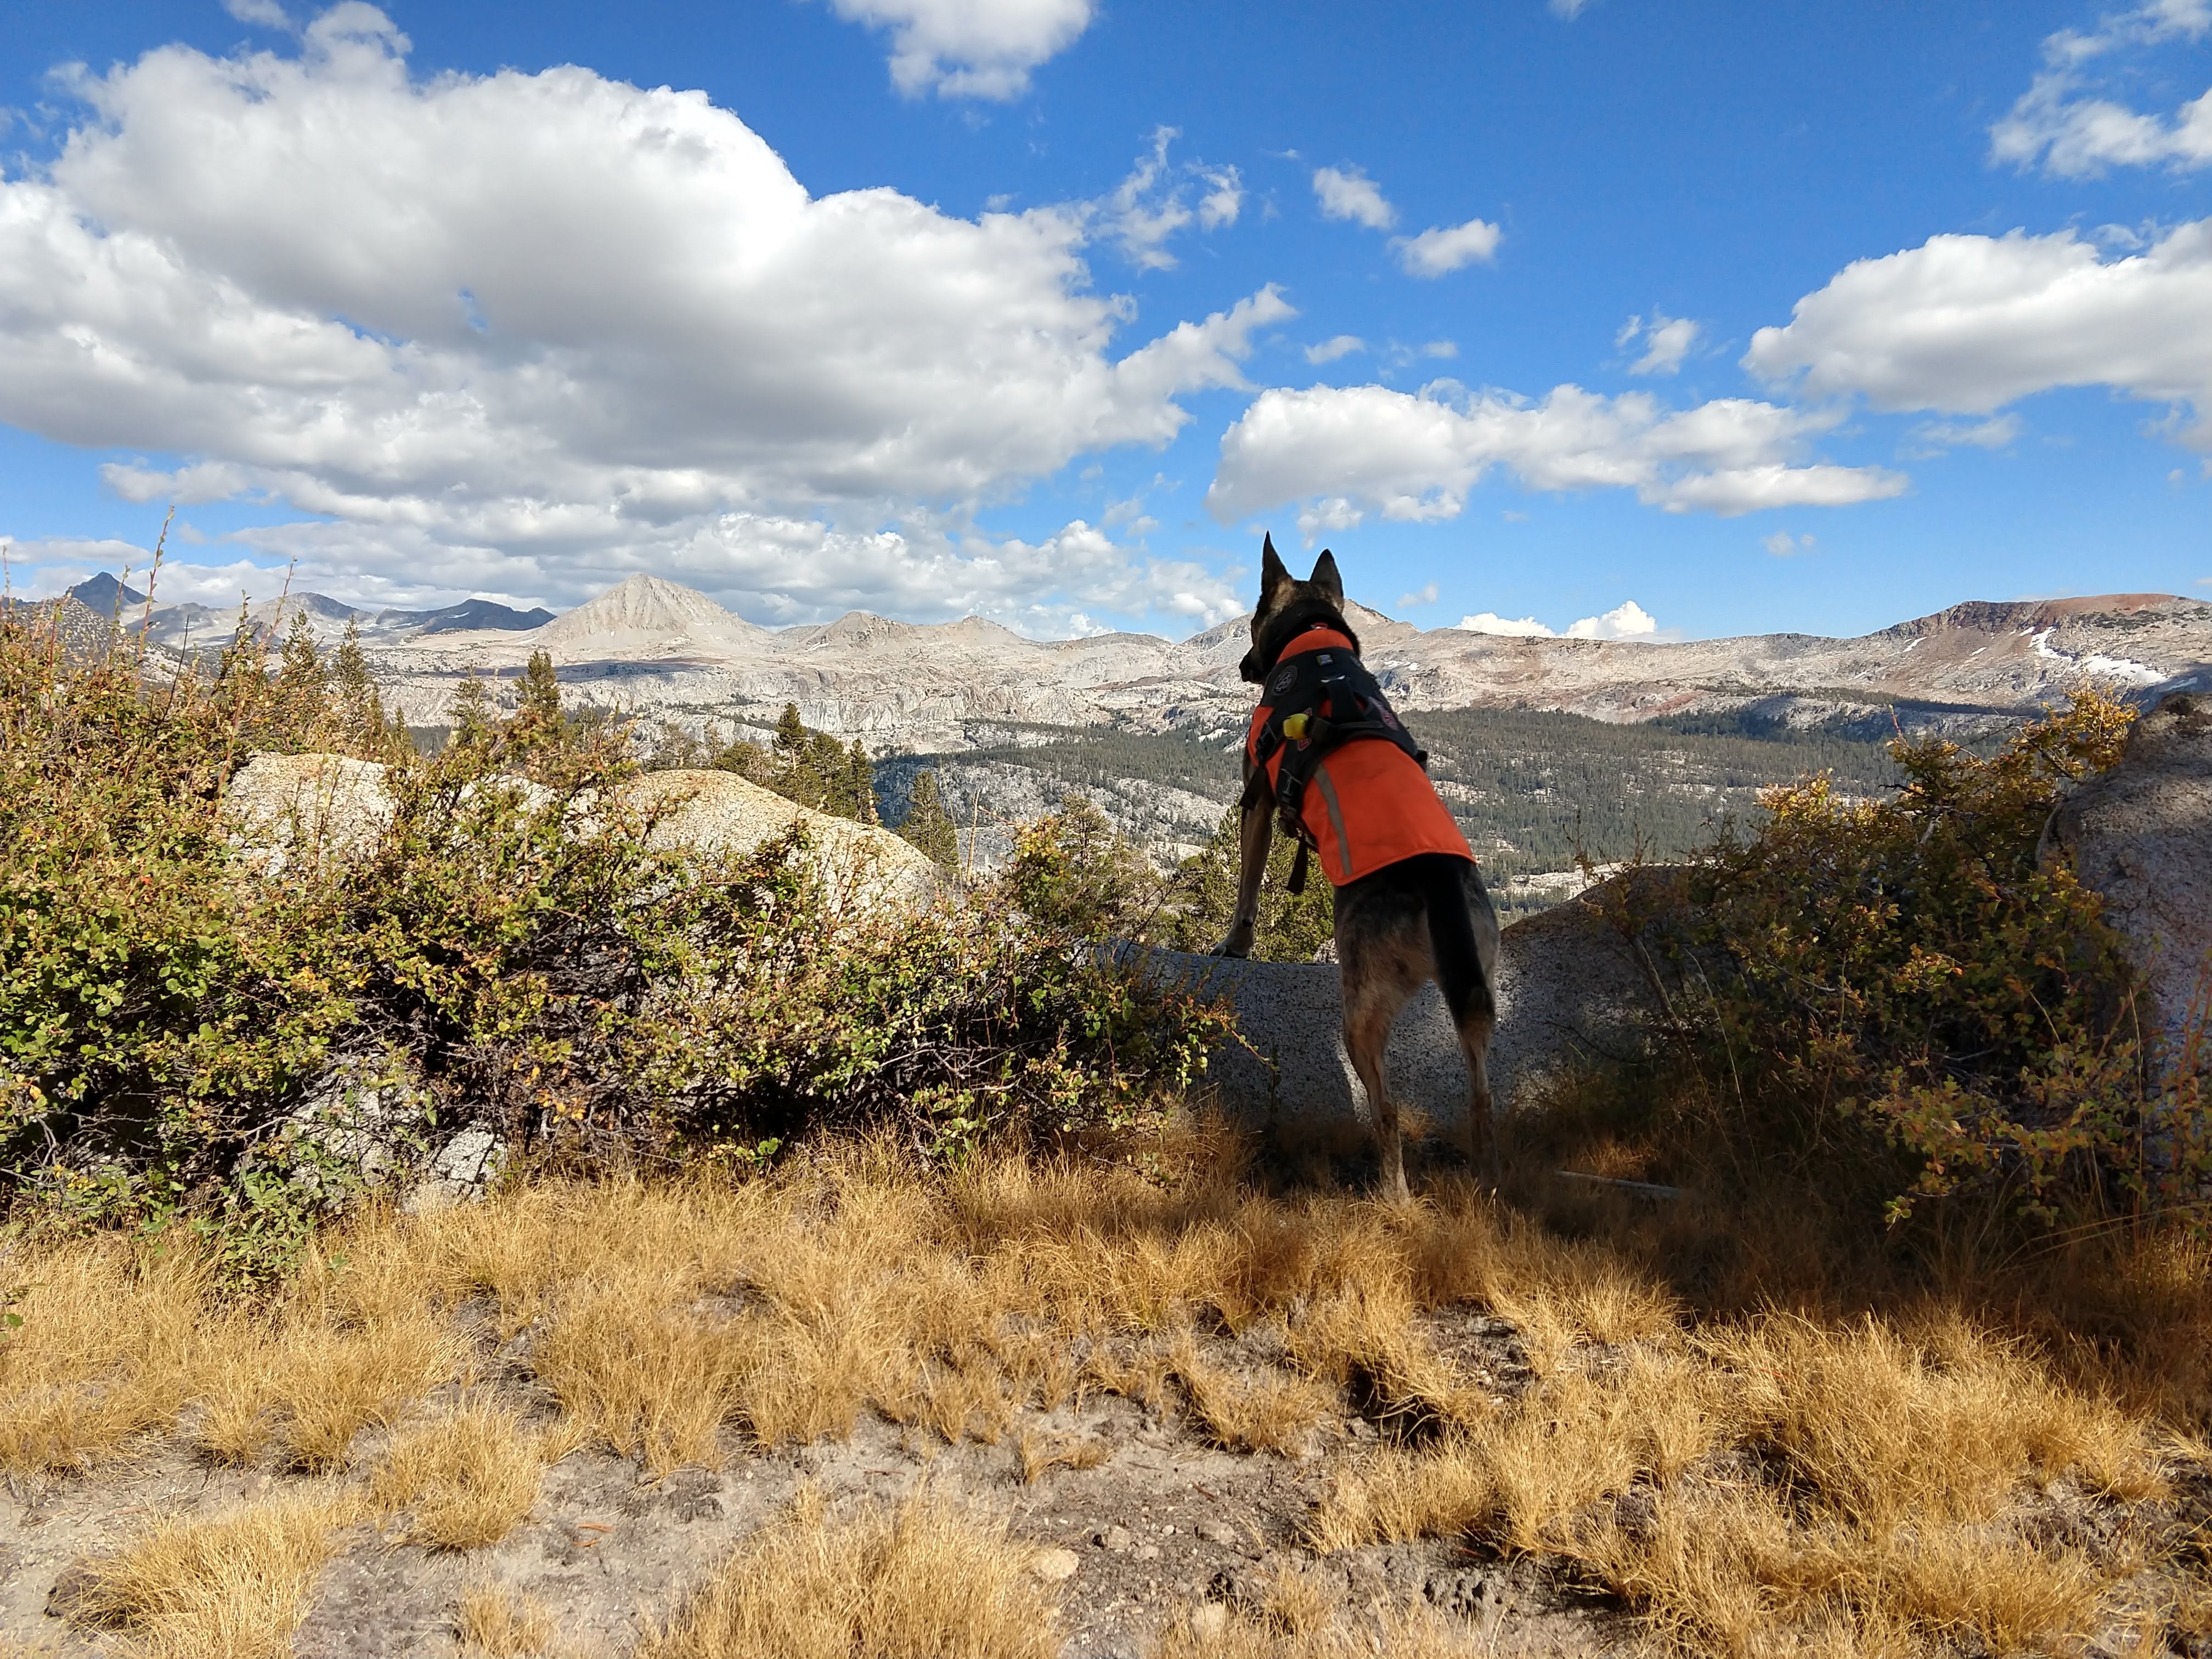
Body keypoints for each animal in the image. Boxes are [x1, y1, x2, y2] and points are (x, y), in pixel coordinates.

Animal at [1212, 539, 1504, 1203]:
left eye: (1252, 617)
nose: (1242, 666)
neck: (1313, 640)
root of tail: (1437, 882)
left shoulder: (1256, 800)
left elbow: (1247, 888)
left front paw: (1235, 945)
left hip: (1361, 1011)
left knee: (1387, 1108)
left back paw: (1391, 1194)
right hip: (1475, 994)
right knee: (1480, 1100)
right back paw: (1482, 1182)